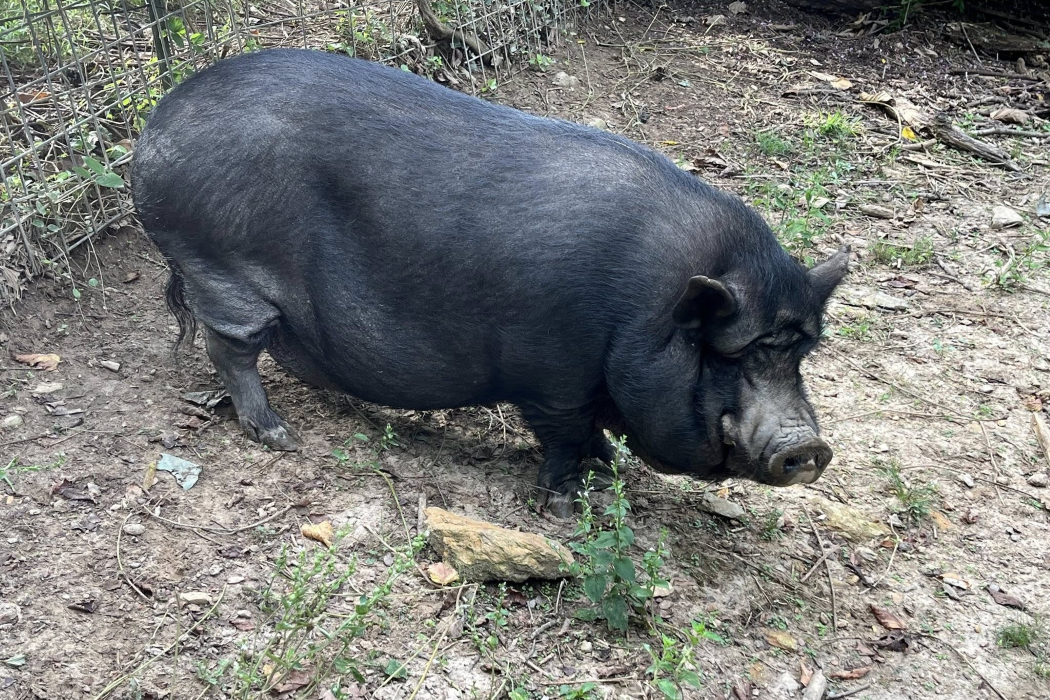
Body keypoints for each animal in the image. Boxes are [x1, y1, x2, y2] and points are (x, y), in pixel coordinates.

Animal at [132, 48, 849, 518]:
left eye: (799, 355)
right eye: (732, 355)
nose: (809, 446)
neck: (646, 311)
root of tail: (153, 129)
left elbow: (593, 435)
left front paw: (609, 467)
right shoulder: (554, 377)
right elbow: (564, 437)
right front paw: (564, 508)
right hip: (222, 268)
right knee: (229, 349)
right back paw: (278, 434)